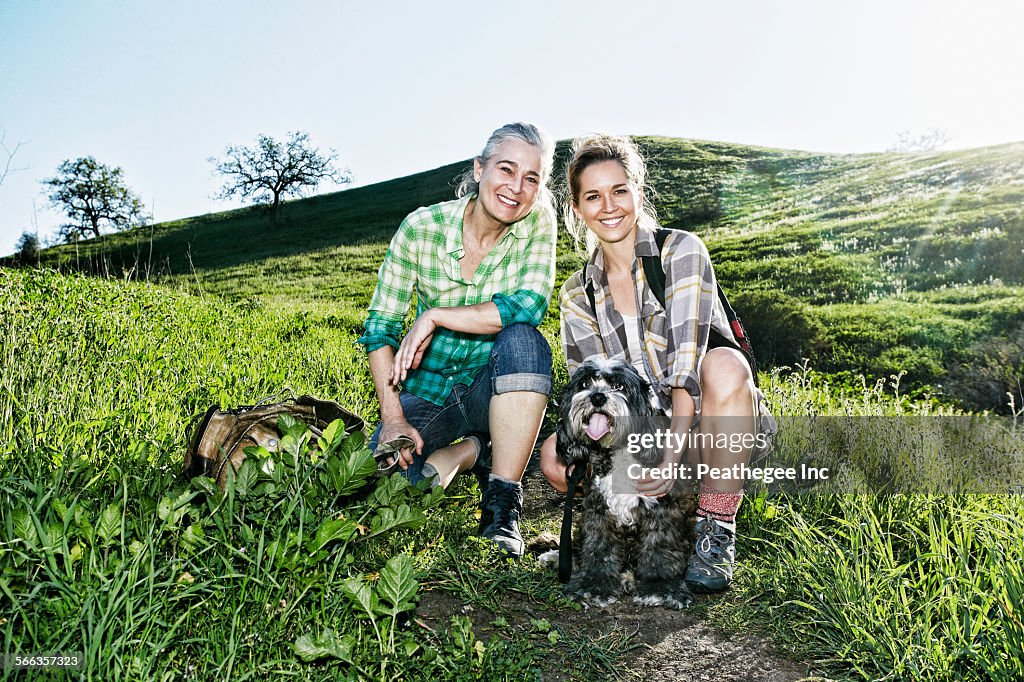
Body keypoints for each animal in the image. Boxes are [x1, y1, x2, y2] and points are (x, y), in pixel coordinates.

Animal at [557, 358, 692, 606]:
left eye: (619, 386)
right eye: (585, 383)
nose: (597, 397)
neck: (617, 452)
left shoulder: (662, 510)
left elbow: (659, 547)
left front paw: (658, 586)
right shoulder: (598, 510)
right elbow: (598, 547)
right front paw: (594, 584)